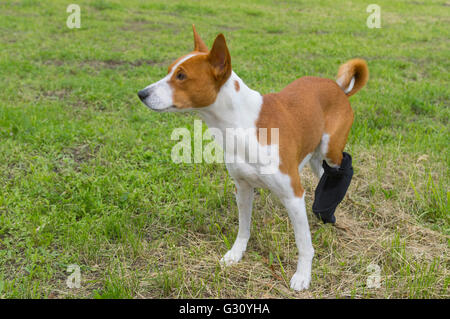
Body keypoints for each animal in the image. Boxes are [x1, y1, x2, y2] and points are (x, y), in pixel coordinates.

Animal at [138, 26, 370, 292]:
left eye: (181, 76)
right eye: (169, 71)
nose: (141, 93)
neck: (241, 125)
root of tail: (339, 88)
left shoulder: (292, 194)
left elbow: (303, 242)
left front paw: (303, 275)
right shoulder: (243, 188)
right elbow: (243, 228)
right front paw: (236, 254)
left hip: (331, 150)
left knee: (340, 167)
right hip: (315, 156)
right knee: (322, 174)